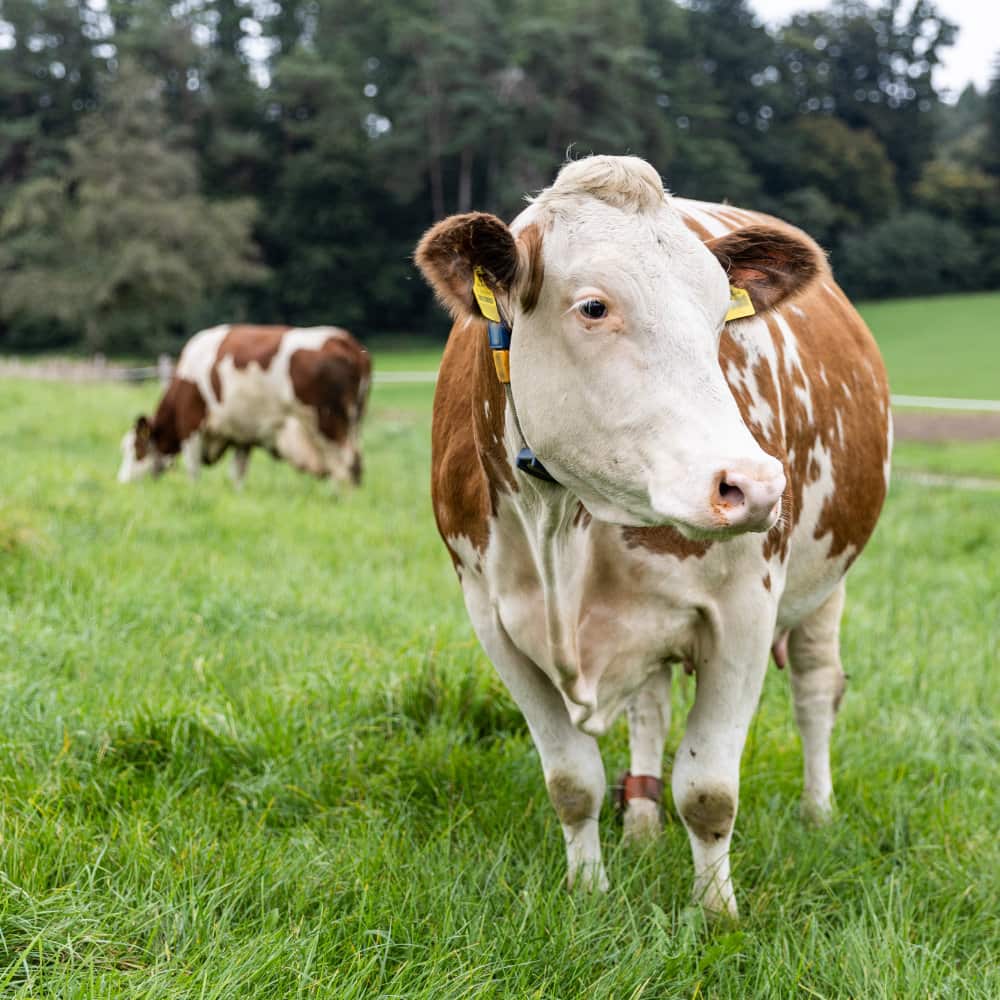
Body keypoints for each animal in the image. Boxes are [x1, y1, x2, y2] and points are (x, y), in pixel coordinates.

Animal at [118, 325, 371, 489]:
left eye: (136, 448)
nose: (122, 482)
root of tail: (345, 342)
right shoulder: (242, 435)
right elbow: (238, 472)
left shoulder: (191, 426)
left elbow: (193, 469)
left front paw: (194, 493)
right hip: (353, 423)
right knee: (354, 464)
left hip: (327, 423)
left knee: (345, 464)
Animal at [415, 155, 891, 917]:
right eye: (594, 307)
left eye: (720, 317)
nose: (755, 484)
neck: (560, 523)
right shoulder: (492, 620)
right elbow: (571, 781)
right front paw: (587, 889)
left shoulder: (745, 611)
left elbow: (709, 791)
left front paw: (718, 914)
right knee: (650, 706)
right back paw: (640, 819)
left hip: (828, 583)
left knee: (818, 688)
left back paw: (817, 811)